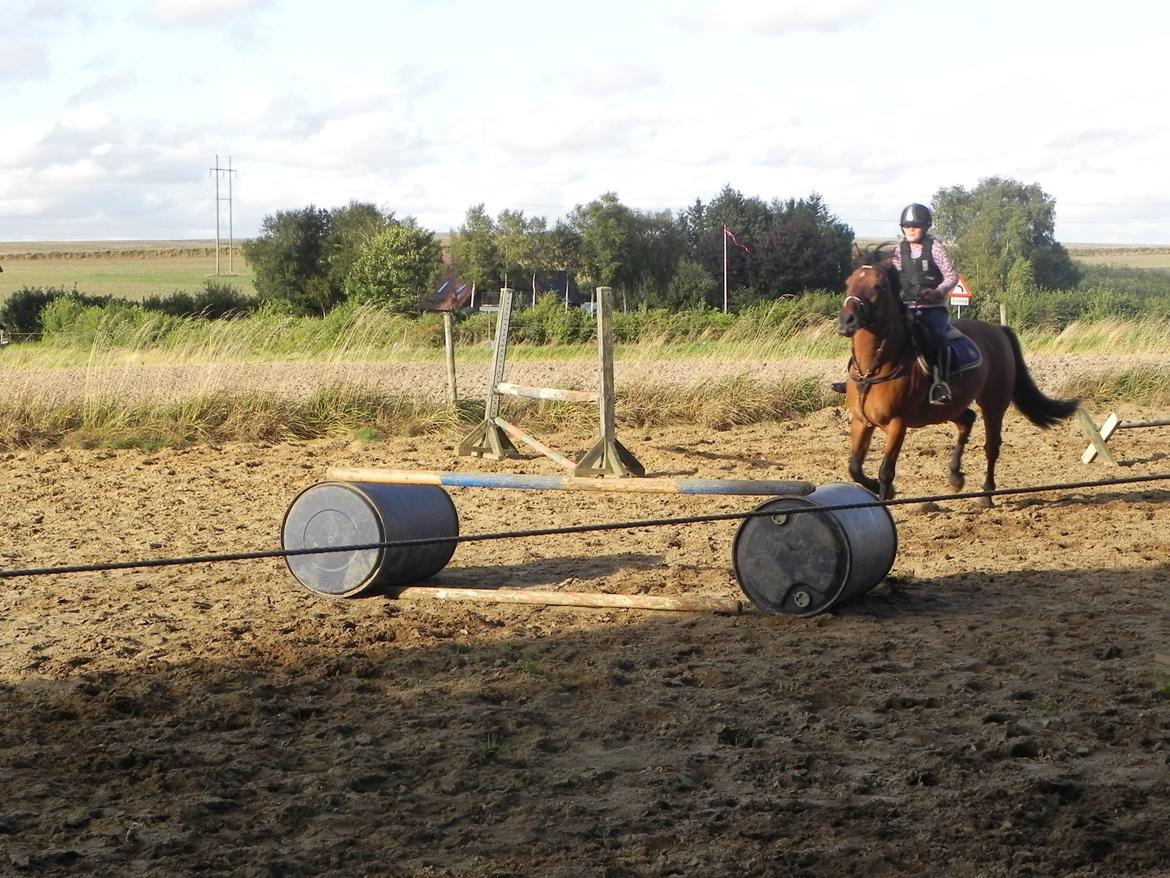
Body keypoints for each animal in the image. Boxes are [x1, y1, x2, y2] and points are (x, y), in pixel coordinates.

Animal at [842, 257, 1076, 505]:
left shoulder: (898, 423)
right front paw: (878, 488)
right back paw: (955, 476)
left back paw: (986, 494)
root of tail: (998, 330)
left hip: (993, 404)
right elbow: (854, 467)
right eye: (849, 283)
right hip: (947, 407)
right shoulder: (861, 421)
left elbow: (886, 471)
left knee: (992, 446)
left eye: (879, 286)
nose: (847, 320)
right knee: (967, 420)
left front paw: (886, 496)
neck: (874, 368)